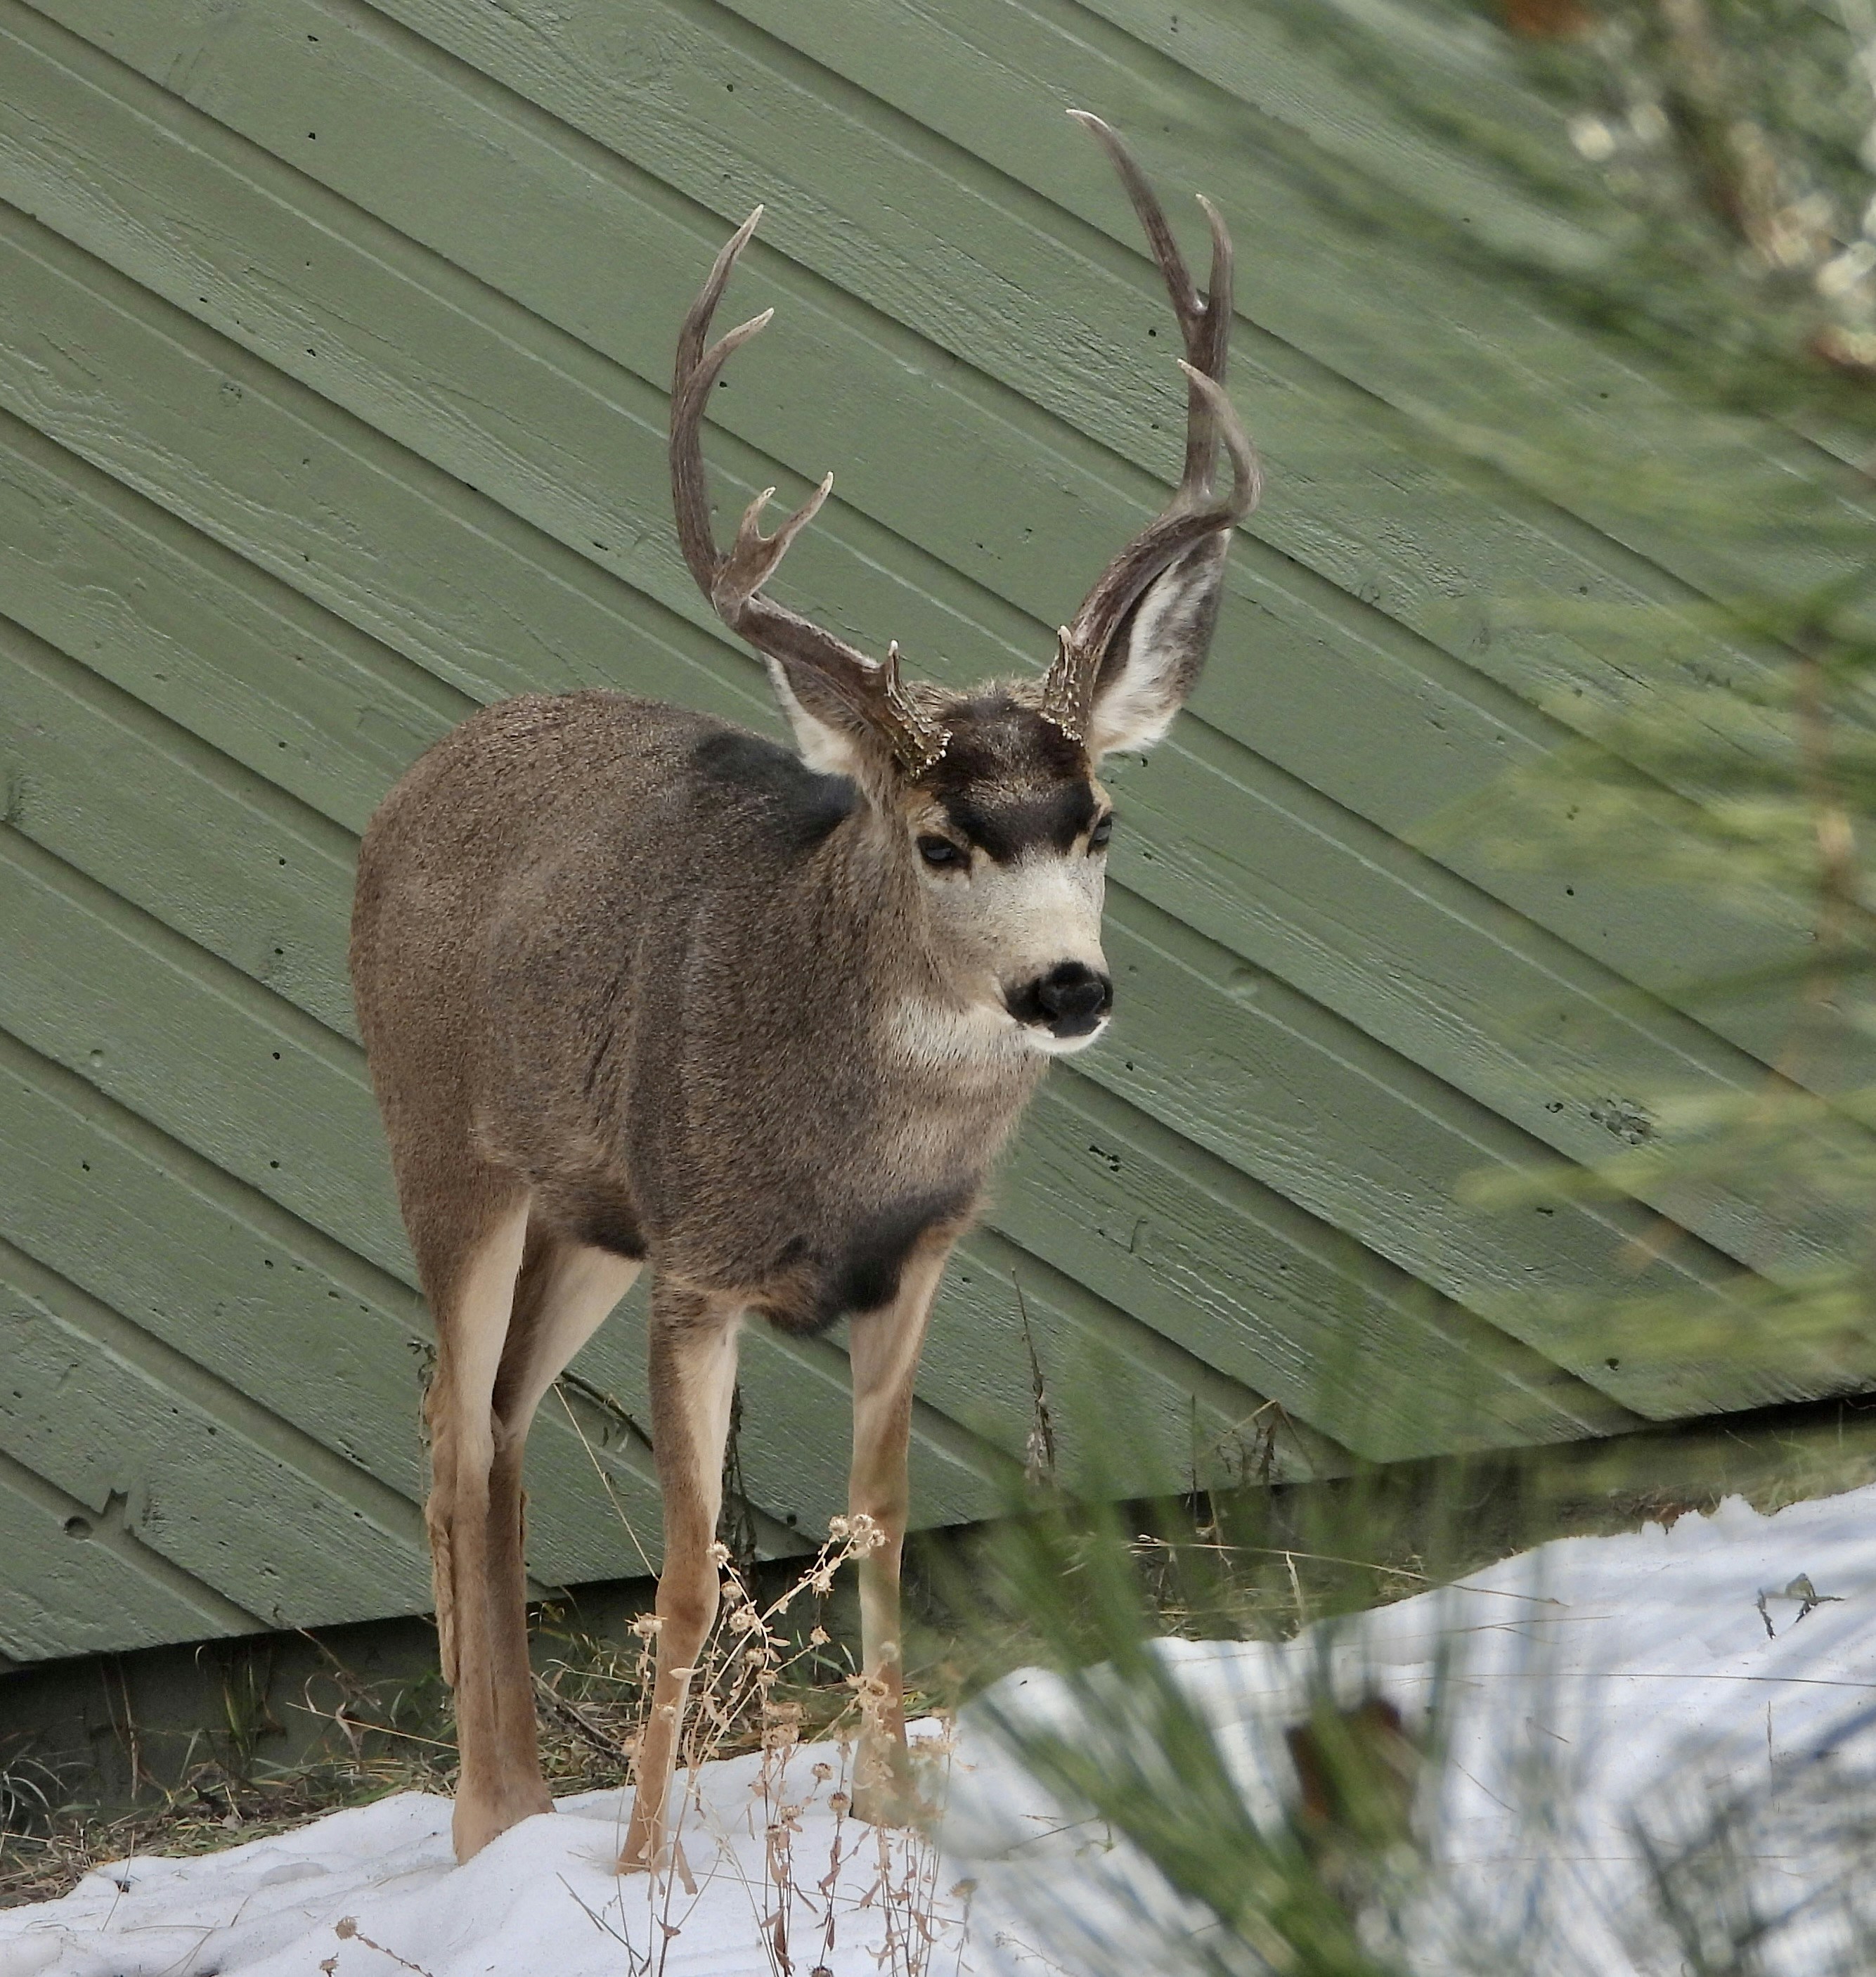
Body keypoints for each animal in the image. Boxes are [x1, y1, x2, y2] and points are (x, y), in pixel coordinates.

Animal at [348, 111, 1258, 1871]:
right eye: (937, 836)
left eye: (1098, 819)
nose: (1064, 984)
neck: (849, 1147)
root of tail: (413, 777)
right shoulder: (698, 1261)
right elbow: (689, 1576)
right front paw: (642, 1862)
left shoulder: (911, 1263)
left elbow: (884, 1524)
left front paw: (891, 1801)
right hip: (447, 1149)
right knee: (448, 1429)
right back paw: (489, 1814)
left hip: (584, 1215)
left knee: (490, 1423)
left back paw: (512, 1802)